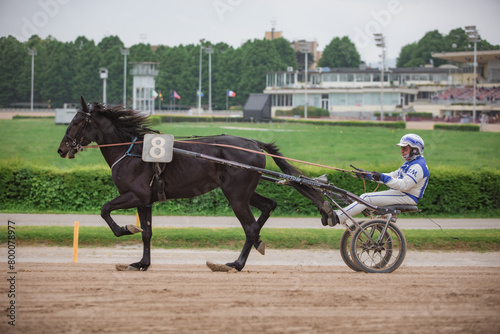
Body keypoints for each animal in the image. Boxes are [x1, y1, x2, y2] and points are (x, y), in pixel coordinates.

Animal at [58, 96, 330, 272]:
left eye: (76, 122)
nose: (61, 149)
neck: (132, 151)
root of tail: (253, 142)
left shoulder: (136, 195)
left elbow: (105, 209)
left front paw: (126, 229)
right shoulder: (146, 201)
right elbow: (147, 232)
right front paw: (142, 263)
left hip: (236, 194)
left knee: (251, 227)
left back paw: (236, 264)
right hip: (242, 191)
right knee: (267, 206)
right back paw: (255, 246)